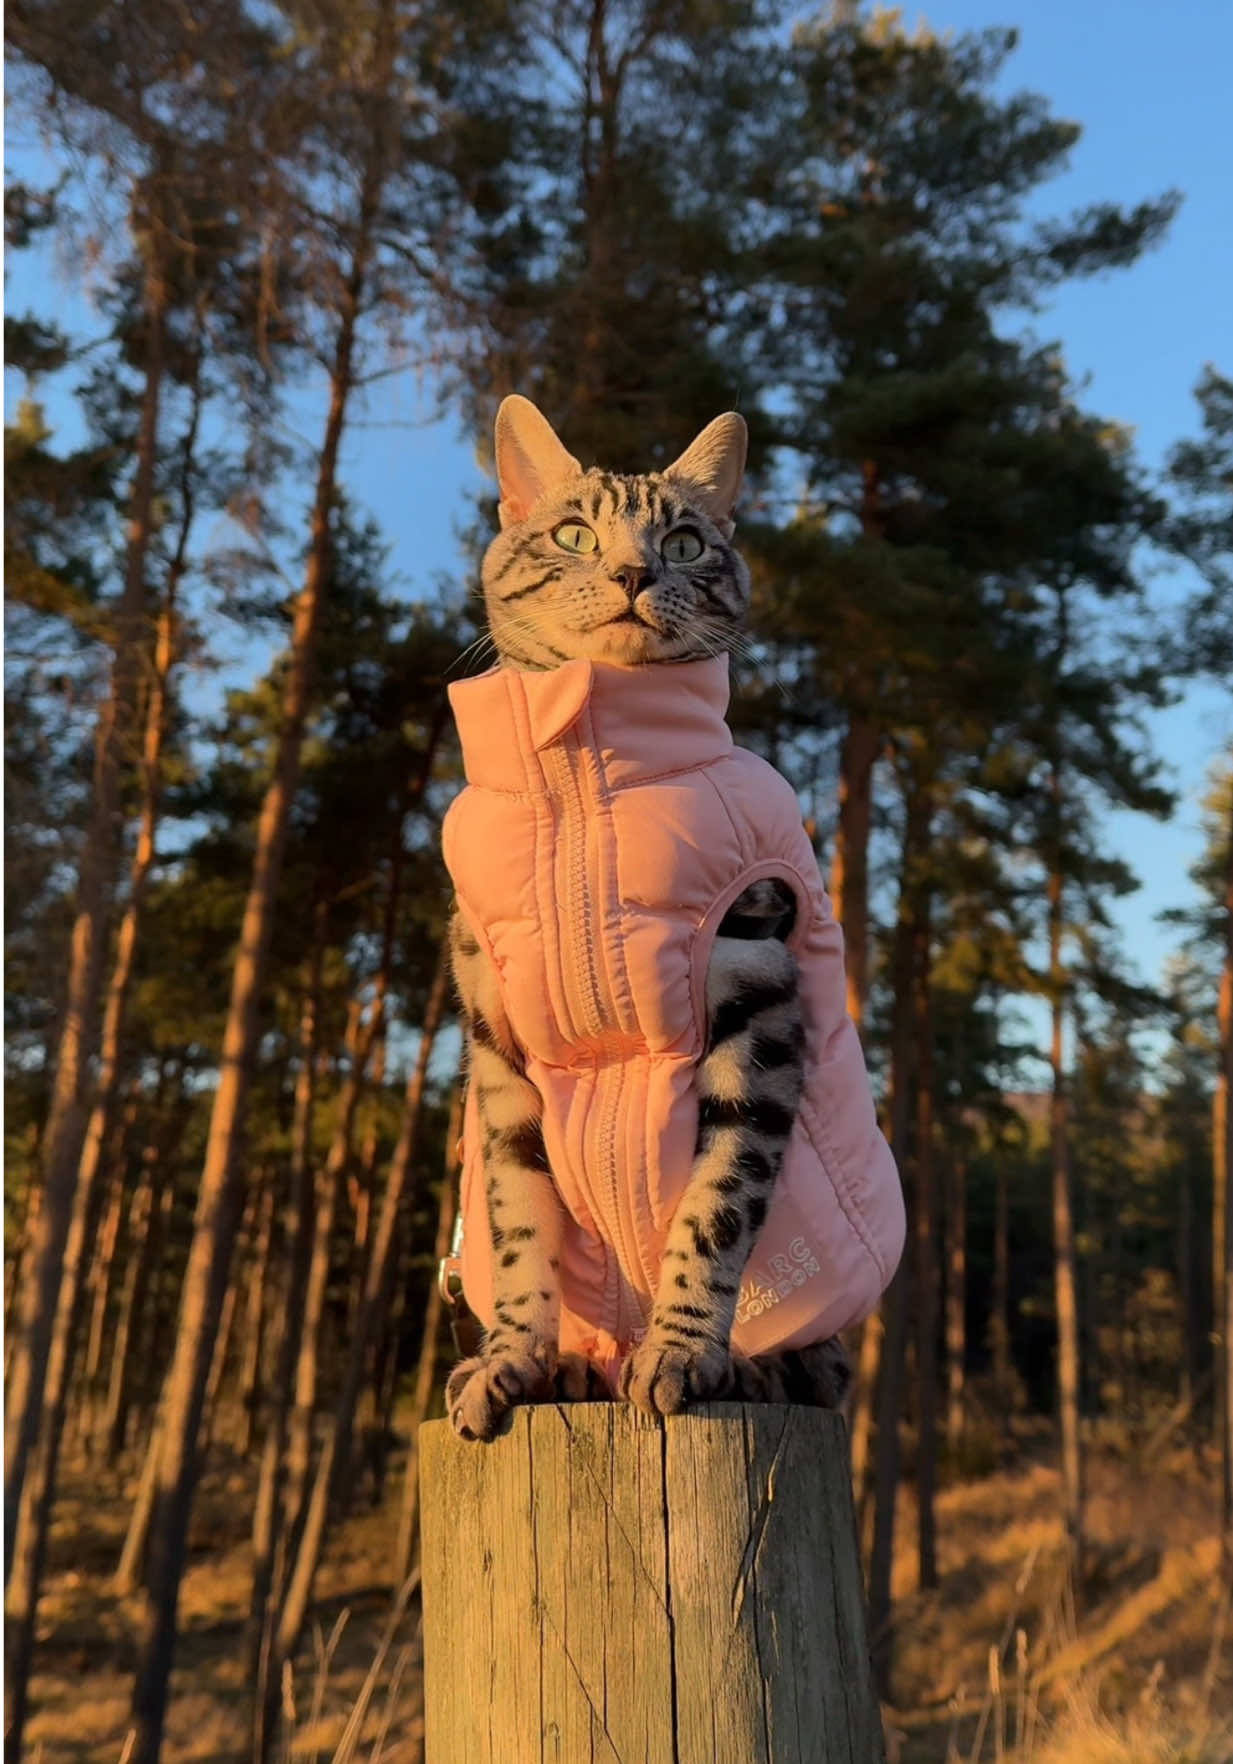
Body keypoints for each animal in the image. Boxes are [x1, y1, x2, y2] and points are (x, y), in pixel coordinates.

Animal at [444, 393, 910, 1439]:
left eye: (687, 543)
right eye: (574, 535)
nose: (633, 572)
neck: (585, 772)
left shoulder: (756, 994)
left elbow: (719, 1201)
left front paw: (682, 1352)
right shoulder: (496, 1042)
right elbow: (516, 1215)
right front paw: (512, 1357)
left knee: (820, 1371)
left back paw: (736, 1369)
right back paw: (578, 1363)